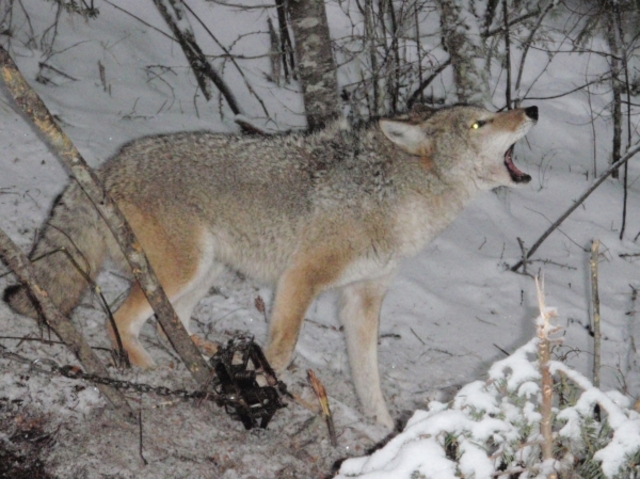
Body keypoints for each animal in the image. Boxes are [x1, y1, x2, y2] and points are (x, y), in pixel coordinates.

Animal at [4, 104, 538, 428]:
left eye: (493, 113)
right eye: (481, 123)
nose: (531, 109)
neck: (398, 204)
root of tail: (108, 164)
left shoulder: (362, 300)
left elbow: (370, 379)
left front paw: (385, 431)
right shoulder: (301, 279)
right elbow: (282, 350)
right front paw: (259, 394)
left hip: (205, 273)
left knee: (163, 324)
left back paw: (201, 356)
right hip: (182, 271)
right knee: (120, 319)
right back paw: (150, 370)